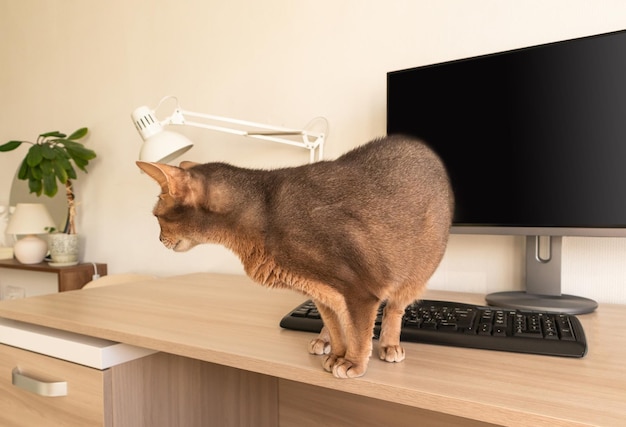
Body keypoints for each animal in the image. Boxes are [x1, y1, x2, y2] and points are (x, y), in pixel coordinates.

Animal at [136, 135, 450, 380]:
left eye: (157, 217)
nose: (159, 239)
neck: (262, 213)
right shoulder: (321, 290)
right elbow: (338, 326)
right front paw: (337, 354)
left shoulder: (359, 291)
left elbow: (359, 330)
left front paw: (354, 363)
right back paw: (322, 339)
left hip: (417, 267)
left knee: (395, 308)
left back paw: (389, 344)